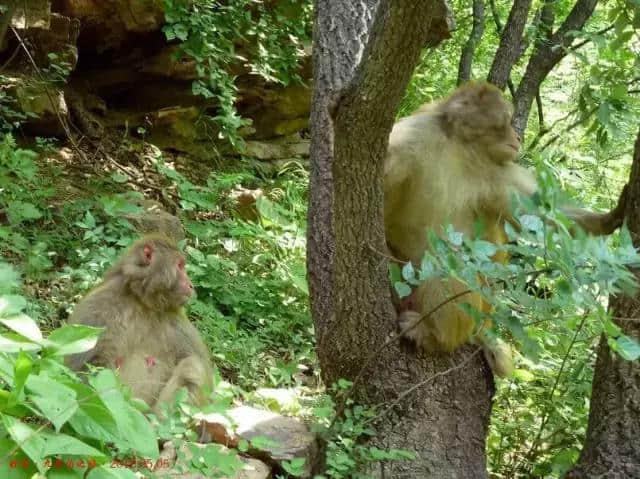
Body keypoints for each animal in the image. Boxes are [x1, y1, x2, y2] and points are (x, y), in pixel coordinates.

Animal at [67, 234, 214, 410]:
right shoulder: (98, 306)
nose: (191, 285)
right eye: (180, 266)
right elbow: (83, 371)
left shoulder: (179, 323)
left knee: (192, 366)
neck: (143, 302)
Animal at [384, 82, 624, 378]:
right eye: (507, 122)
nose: (518, 137)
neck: (459, 146)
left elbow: (540, 212)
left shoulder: (497, 168)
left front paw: (607, 219)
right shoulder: (415, 135)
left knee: (452, 267)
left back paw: (435, 335)